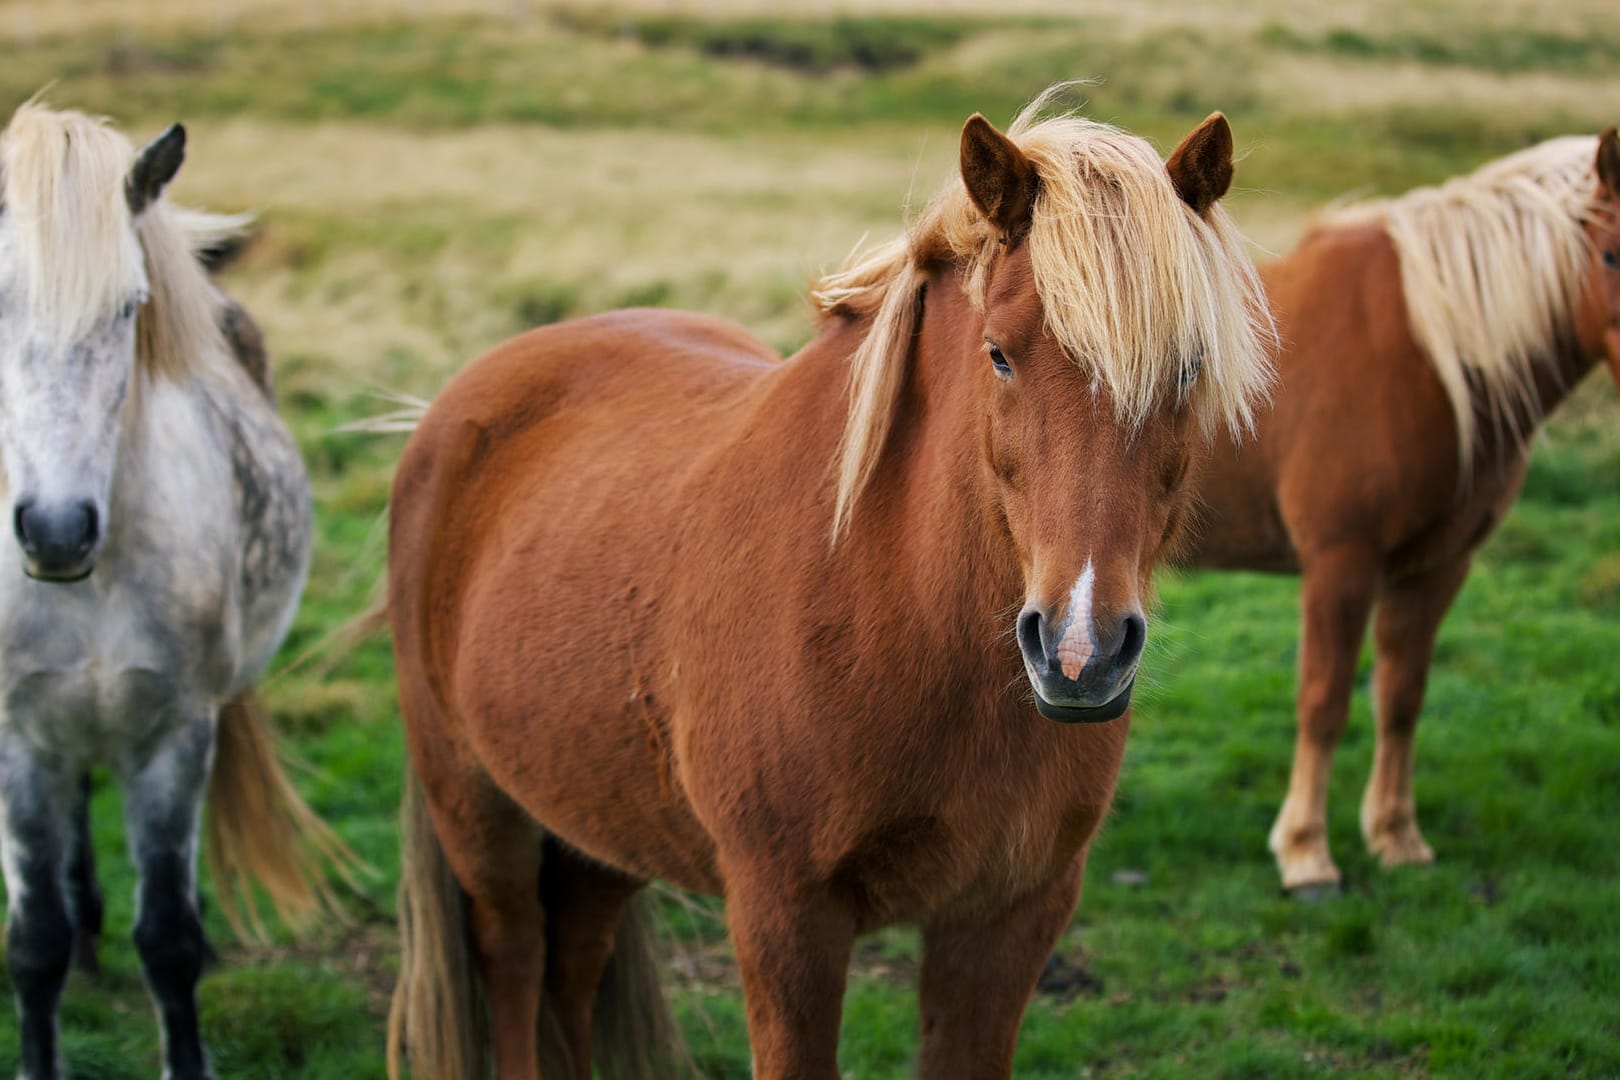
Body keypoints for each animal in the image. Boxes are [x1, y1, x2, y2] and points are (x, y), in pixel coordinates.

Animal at [0, 103, 341, 1080]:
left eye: (129, 307)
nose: (55, 530)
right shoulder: (18, 741)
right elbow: (32, 943)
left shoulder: (174, 736)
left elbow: (169, 941)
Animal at [385, 93, 1270, 1080]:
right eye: (999, 354)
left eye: (1189, 366)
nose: (1081, 651)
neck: (892, 609)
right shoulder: (786, 919)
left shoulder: (1006, 919)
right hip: (478, 810)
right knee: (514, 960)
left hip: (595, 821)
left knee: (572, 966)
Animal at [1185, 128, 1620, 893]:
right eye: (1610, 255)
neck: (1431, 345)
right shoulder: (1341, 563)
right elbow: (1324, 702)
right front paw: (1306, 852)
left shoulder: (1435, 567)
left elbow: (1401, 698)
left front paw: (1395, 837)